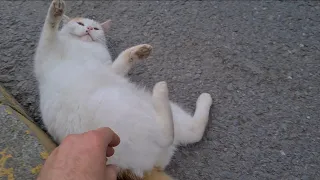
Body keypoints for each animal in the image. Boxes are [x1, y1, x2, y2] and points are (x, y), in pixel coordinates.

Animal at [34, 0, 212, 179]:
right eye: (80, 24)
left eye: (96, 28)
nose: (89, 29)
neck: (84, 46)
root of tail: (148, 167)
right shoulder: (46, 51)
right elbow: (49, 30)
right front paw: (55, 11)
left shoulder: (112, 69)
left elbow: (123, 61)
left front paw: (138, 52)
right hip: (117, 104)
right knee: (169, 135)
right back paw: (161, 91)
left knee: (188, 133)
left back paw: (200, 98)